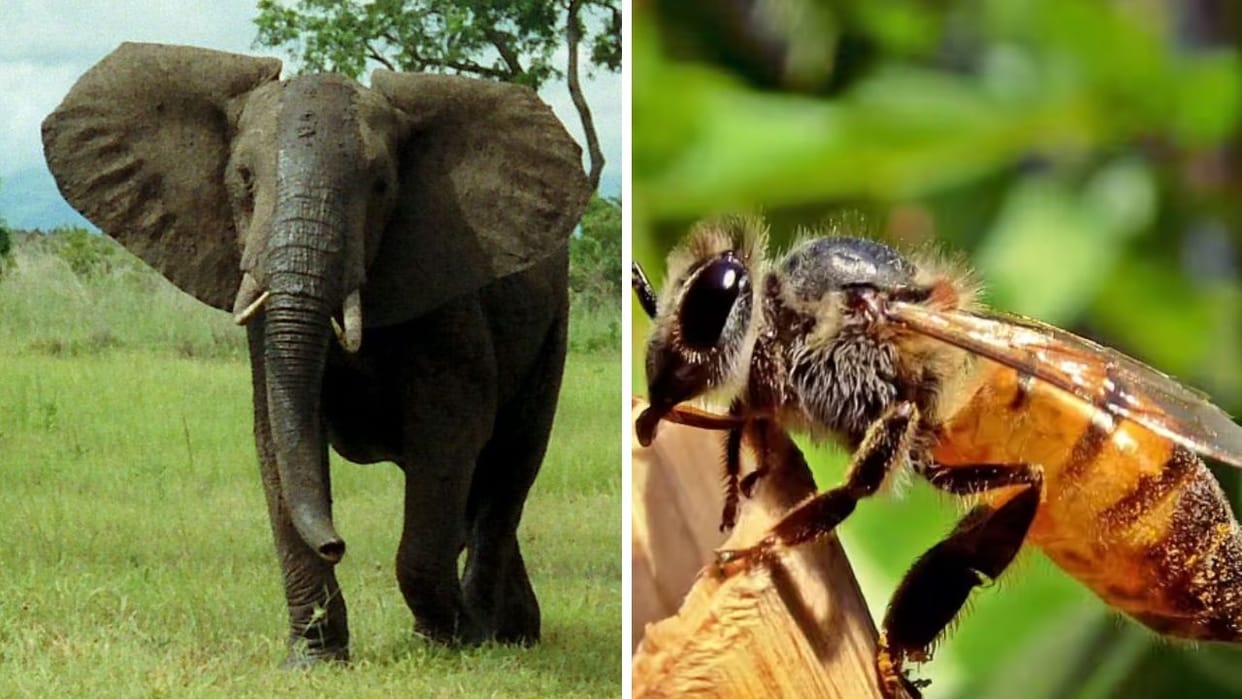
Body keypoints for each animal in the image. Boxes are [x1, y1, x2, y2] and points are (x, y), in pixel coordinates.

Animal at [41, 42, 592, 665]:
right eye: (243, 179)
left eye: (382, 185)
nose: (336, 543)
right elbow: (276, 434)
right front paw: (313, 660)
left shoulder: (447, 290)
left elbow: (451, 428)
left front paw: (451, 642)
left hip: (555, 325)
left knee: (508, 468)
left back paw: (501, 634)